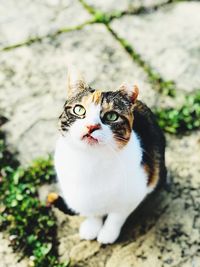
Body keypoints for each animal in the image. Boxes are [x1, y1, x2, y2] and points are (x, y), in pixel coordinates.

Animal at [54, 70, 166, 245]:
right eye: (79, 110)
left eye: (112, 116)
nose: (91, 126)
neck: (90, 160)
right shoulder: (82, 197)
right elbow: (93, 213)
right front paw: (92, 227)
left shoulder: (132, 195)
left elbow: (116, 217)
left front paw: (107, 233)